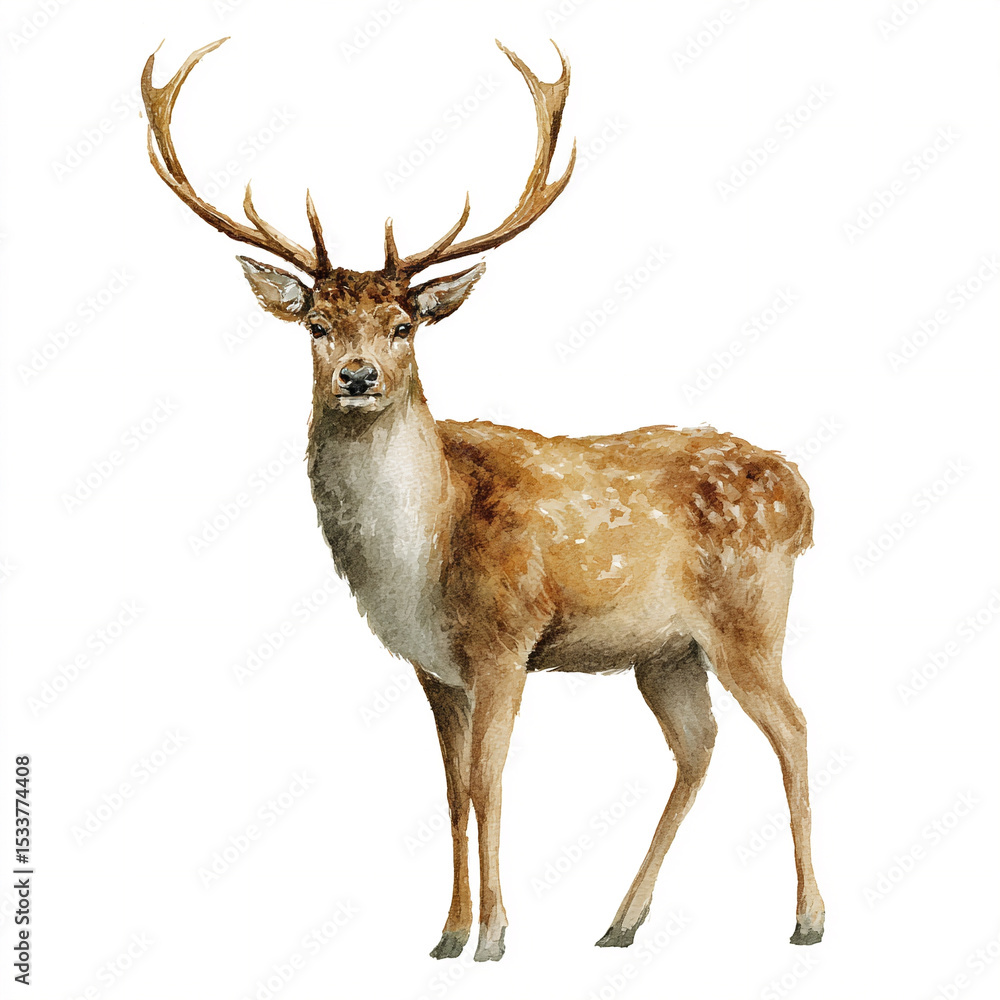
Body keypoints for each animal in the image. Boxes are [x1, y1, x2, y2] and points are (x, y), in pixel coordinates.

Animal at [142, 37, 825, 963]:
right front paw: (446, 933)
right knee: (699, 747)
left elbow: (489, 780)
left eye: (404, 326)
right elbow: (451, 790)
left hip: (749, 614)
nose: (359, 376)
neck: (421, 557)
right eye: (316, 325)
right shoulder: (434, 666)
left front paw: (496, 935)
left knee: (792, 728)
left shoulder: (505, 640)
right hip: (666, 650)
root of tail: (801, 494)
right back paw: (621, 922)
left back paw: (807, 919)